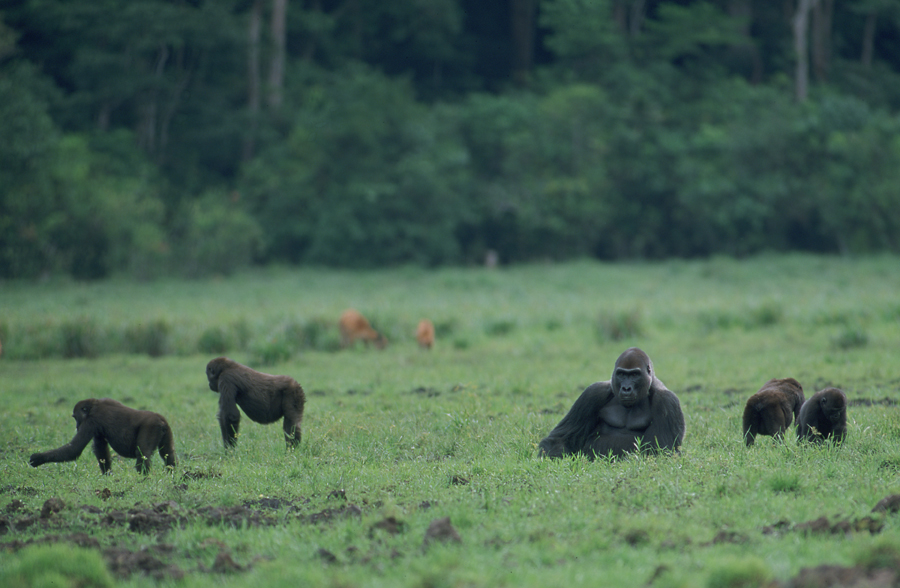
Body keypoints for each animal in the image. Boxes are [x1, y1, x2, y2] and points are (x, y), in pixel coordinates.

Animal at [29, 398, 177, 476]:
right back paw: (172, 473)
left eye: (76, 417)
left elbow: (73, 449)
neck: (93, 405)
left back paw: (143, 478)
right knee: (168, 453)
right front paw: (108, 475)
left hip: (151, 426)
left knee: (143, 453)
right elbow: (101, 450)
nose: (77, 426)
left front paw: (39, 458)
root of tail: (160, 420)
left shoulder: (91, 421)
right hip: (166, 430)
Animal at [536, 346, 684, 462]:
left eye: (634, 375)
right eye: (621, 374)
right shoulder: (593, 393)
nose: (626, 388)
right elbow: (560, 439)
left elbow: (660, 452)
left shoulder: (667, 401)